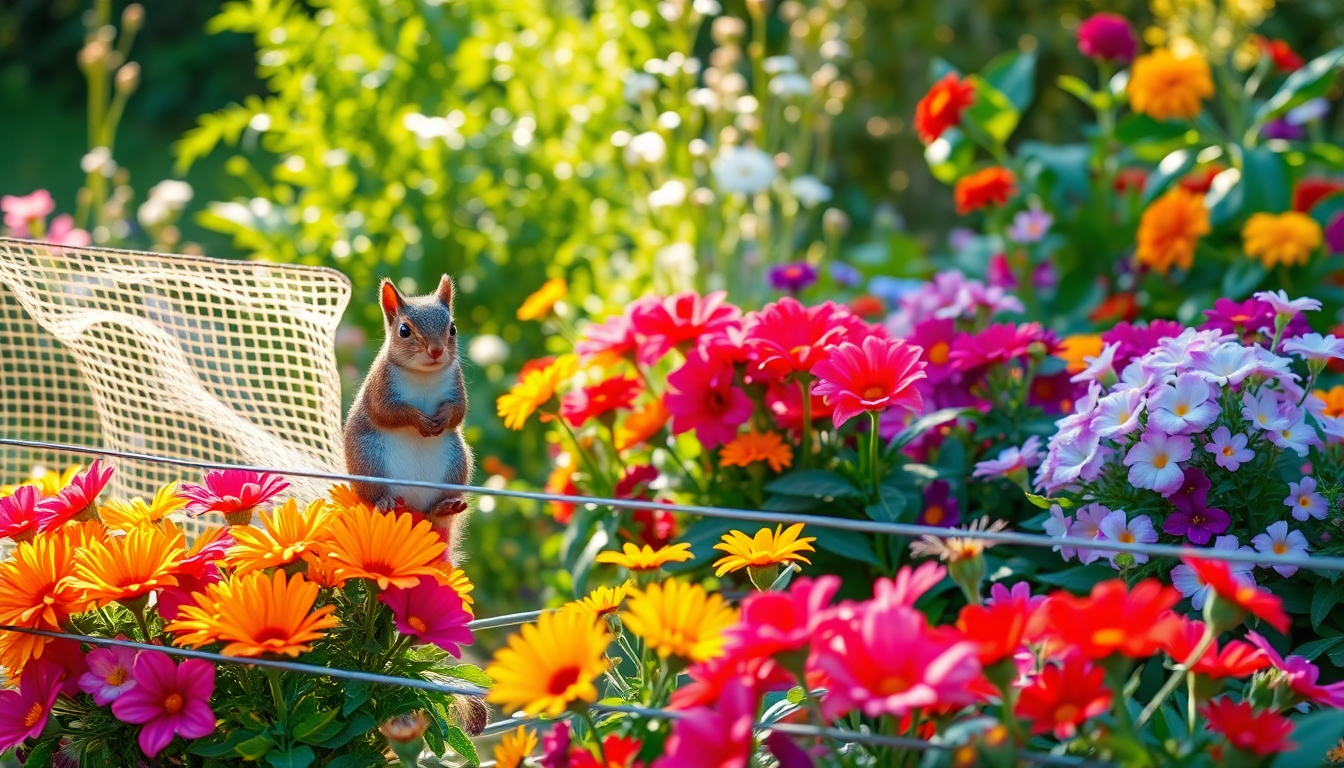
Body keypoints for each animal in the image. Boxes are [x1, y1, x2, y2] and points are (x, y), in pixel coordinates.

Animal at [344, 275, 473, 550]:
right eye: (404, 331)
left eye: (452, 328)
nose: (436, 350)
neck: (423, 374)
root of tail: (412, 505)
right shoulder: (380, 387)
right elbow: (387, 412)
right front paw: (419, 420)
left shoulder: (455, 384)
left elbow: (458, 411)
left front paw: (442, 418)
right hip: (368, 462)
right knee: (374, 497)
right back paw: (385, 503)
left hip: (456, 465)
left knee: (435, 512)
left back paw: (445, 506)